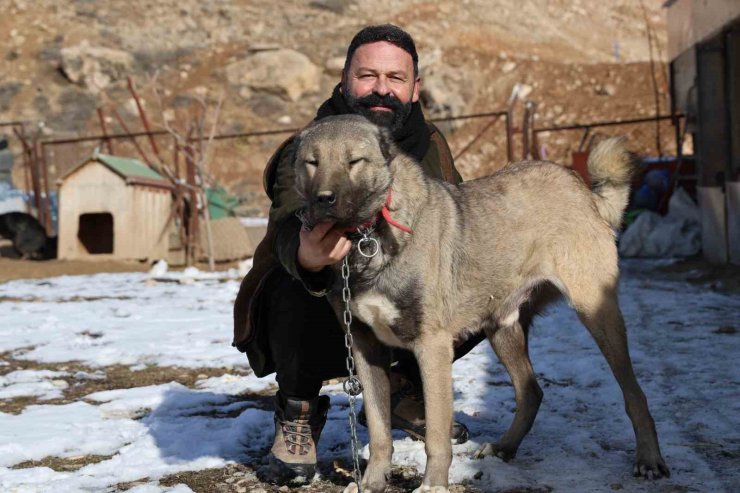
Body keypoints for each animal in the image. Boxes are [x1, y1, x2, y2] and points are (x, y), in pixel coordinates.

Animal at [290, 113, 672, 490]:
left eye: (354, 161)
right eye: (312, 162)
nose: (324, 199)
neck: (368, 237)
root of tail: (581, 189)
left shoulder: (432, 347)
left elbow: (436, 436)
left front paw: (433, 485)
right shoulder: (364, 348)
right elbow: (381, 430)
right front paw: (371, 482)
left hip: (597, 313)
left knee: (634, 394)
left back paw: (649, 460)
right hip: (501, 328)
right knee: (531, 391)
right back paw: (505, 447)